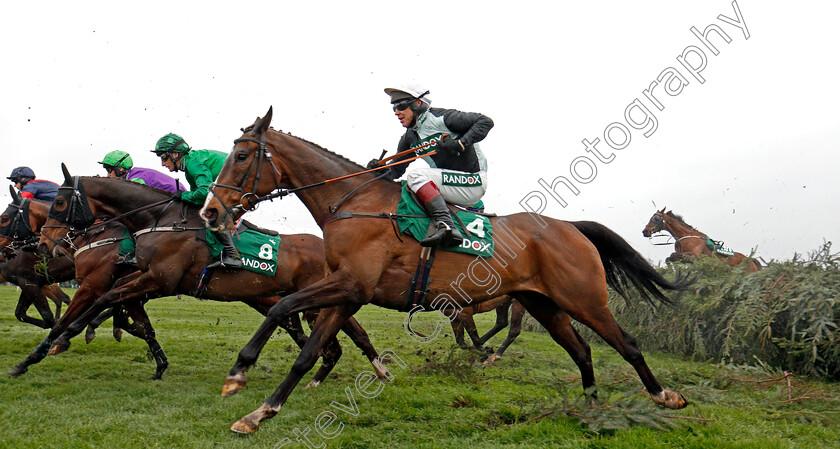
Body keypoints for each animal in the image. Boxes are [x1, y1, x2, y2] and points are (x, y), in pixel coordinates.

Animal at [39, 170, 390, 384]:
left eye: (59, 201)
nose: (45, 242)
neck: (160, 219)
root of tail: (331, 247)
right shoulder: (143, 279)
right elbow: (132, 317)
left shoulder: (149, 280)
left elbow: (96, 305)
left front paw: (56, 342)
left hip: (316, 298)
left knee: (345, 334)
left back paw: (370, 367)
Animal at [202, 107, 688, 432]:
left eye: (241, 156)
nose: (211, 211)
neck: (354, 203)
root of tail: (569, 226)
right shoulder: (347, 292)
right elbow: (306, 351)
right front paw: (260, 411)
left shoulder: (349, 285)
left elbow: (280, 307)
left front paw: (239, 373)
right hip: (543, 304)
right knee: (583, 351)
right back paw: (590, 408)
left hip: (584, 299)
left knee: (627, 344)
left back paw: (665, 395)